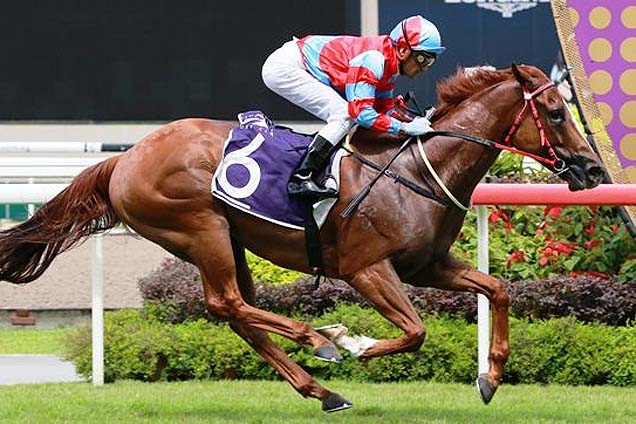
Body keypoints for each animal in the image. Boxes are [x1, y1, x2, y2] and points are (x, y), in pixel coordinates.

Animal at [0, 64, 604, 412]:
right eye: (556, 112)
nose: (594, 170)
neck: (419, 166)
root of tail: (125, 158)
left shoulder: (427, 265)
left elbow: (497, 289)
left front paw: (491, 377)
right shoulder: (367, 269)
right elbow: (415, 332)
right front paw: (356, 343)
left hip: (224, 240)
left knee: (236, 310)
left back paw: (322, 388)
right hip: (200, 227)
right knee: (229, 303)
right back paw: (320, 340)